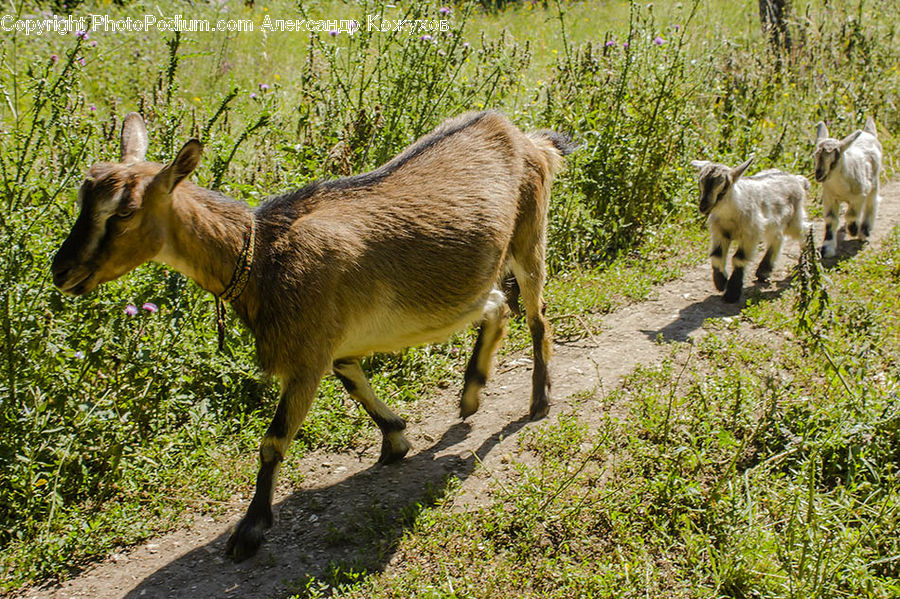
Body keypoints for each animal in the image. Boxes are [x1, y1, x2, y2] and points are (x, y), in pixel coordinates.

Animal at [52, 111, 576, 564]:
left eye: (124, 213)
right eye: (83, 199)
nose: (61, 271)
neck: (261, 255)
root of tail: (527, 139)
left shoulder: (305, 352)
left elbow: (273, 440)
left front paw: (251, 530)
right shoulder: (333, 344)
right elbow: (355, 384)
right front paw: (396, 441)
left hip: (530, 234)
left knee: (537, 318)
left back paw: (538, 400)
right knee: (496, 304)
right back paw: (470, 394)